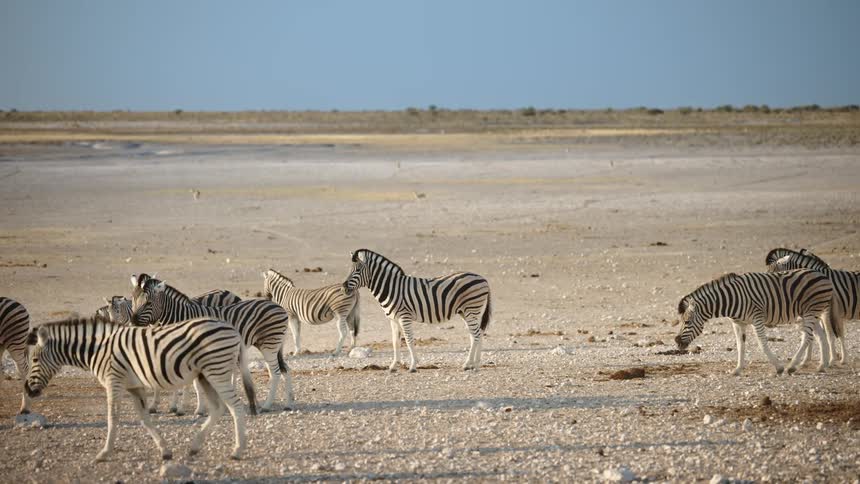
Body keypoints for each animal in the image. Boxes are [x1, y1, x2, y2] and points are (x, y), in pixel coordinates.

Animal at [25, 314, 256, 462]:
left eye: (34, 359)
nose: (27, 390)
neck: (98, 349)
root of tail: (232, 327)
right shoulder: (133, 387)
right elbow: (145, 419)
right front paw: (164, 451)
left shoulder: (114, 381)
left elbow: (113, 417)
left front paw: (104, 453)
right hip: (205, 375)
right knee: (218, 409)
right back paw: (195, 446)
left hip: (217, 372)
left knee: (235, 407)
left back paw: (237, 450)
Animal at [131, 277, 293, 412]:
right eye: (133, 301)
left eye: (148, 303)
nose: (132, 321)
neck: (182, 317)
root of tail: (278, 307)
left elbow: (194, 384)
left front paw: (195, 409)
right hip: (271, 344)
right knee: (285, 369)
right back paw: (288, 404)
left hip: (269, 344)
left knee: (275, 373)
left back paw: (266, 405)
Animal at [341, 249, 492, 372]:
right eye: (350, 269)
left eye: (358, 270)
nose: (343, 287)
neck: (391, 289)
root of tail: (483, 278)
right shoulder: (393, 319)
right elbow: (395, 341)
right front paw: (393, 366)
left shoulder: (404, 316)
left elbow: (408, 340)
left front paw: (413, 365)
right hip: (466, 312)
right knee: (476, 334)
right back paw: (473, 364)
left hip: (471, 309)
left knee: (476, 334)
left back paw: (471, 365)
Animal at [675, 269, 834, 375]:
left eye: (687, 322)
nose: (677, 342)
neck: (731, 299)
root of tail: (823, 276)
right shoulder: (738, 323)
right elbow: (740, 345)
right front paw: (737, 369)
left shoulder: (757, 318)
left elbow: (762, 343)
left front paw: (779, 367)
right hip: (811, 313)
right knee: (820, 335)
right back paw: (822, 365)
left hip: (810, 311)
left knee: (808, 337)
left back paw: (792, 366)